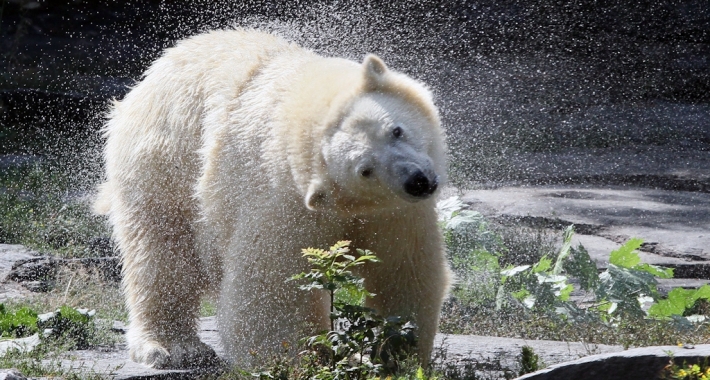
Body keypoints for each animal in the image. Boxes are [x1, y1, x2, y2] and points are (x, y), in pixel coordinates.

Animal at [94, 29, 450, 368]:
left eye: (396, 130)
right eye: (365, 170)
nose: (416, 181)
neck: (304, 111)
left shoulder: (396, 213)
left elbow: (402, 271)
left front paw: (396, 353)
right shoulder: (283, 203)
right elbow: (270, 286)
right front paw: (295, 360)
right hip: (164, 165)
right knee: (162, 256)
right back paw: (173, 347)